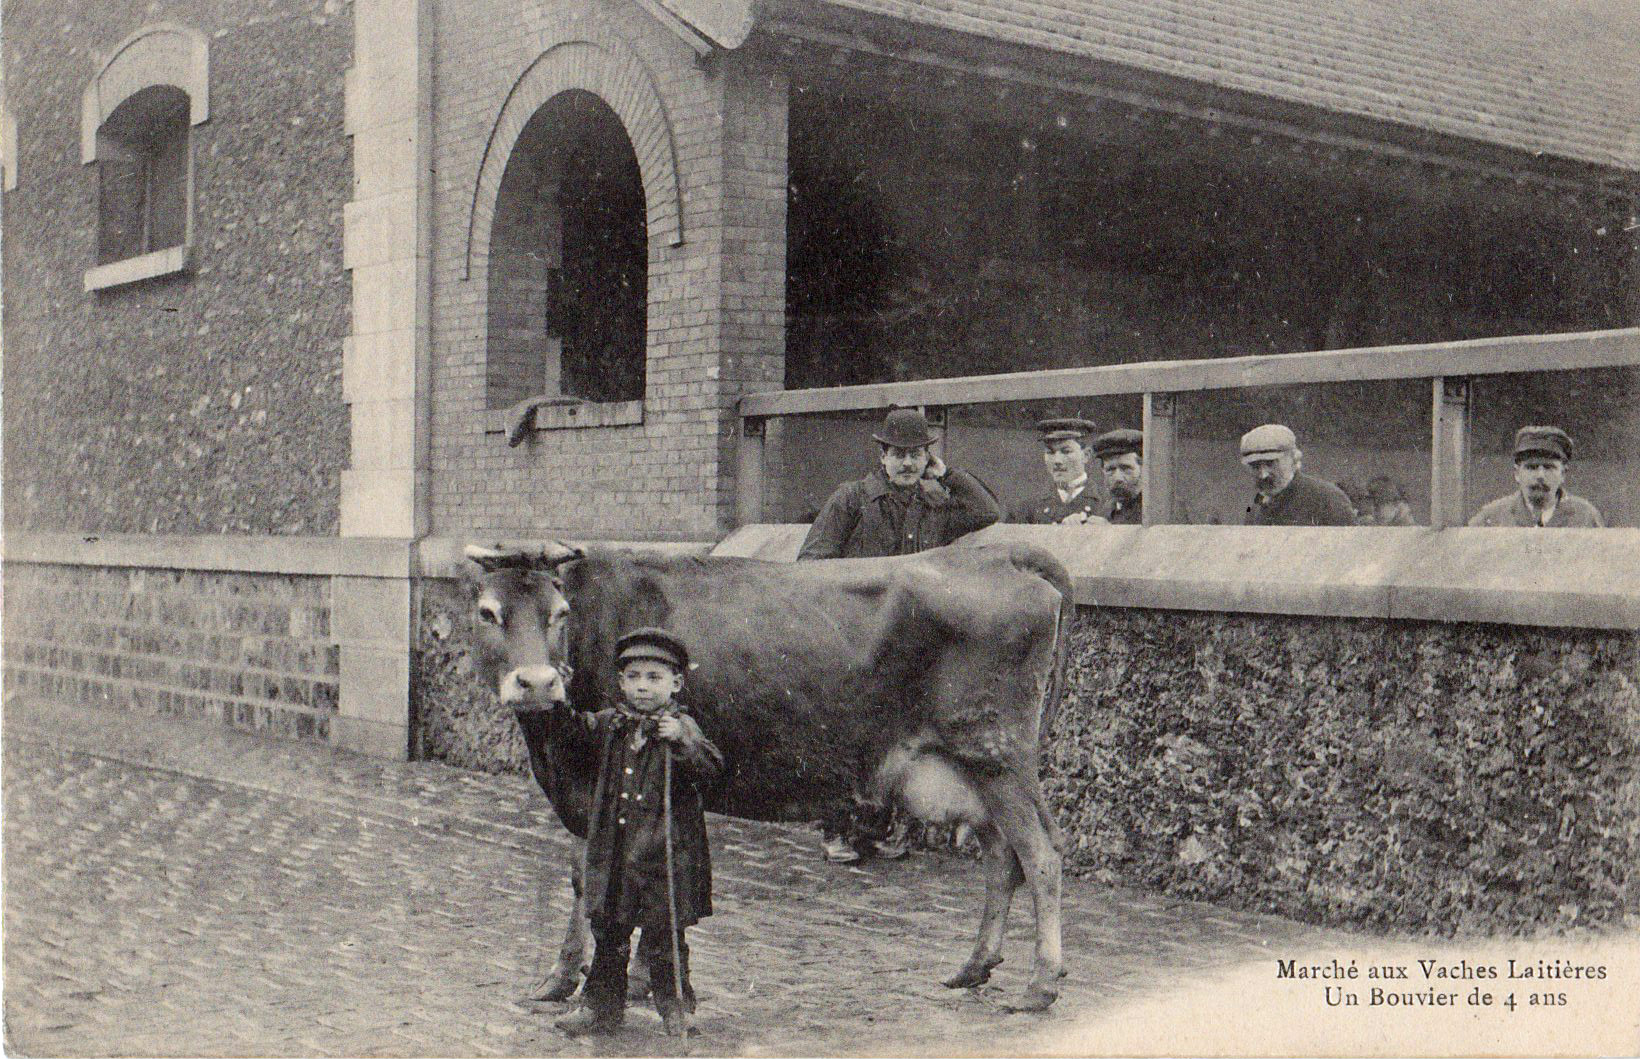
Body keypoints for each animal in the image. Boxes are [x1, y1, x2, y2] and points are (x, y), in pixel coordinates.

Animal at [461, 539, 1073, 1012]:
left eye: (559, 613)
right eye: (488, 612)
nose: (537, 682)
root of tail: (997, 553)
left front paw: (624, 981)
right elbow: (587, 878)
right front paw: (565, 979)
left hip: (995, 753)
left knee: (1040, 854)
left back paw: (1040, 985)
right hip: (971, 768)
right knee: (1003, 856)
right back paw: (976, 966)